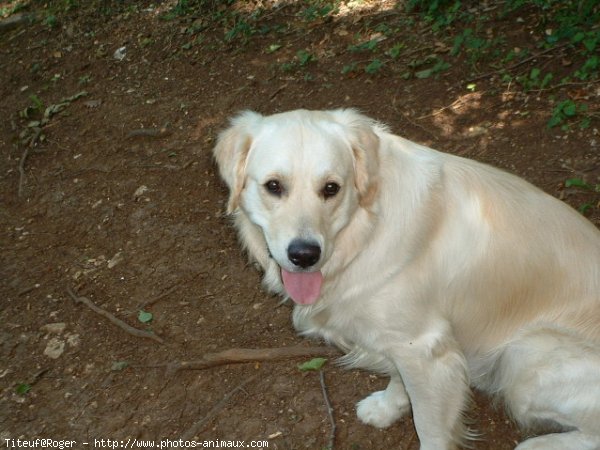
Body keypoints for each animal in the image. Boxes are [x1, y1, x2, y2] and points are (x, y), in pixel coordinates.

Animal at [214, 110, 600, 450]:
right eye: (273, 186)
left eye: (331, 188)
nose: (305, 254)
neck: (362, 234)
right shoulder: (408, 342)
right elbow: (401, 380)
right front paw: (388, 407)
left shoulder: (427, 348)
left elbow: (430, 427)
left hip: (524, 358)